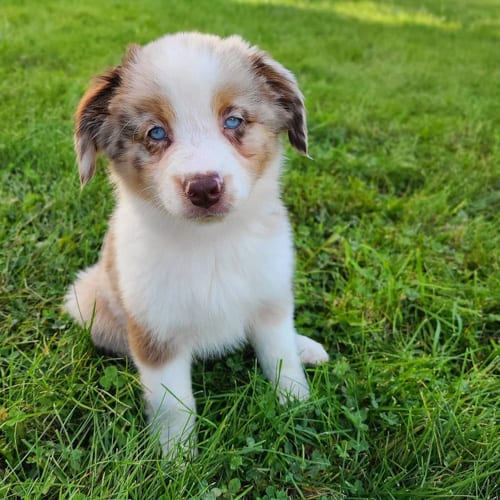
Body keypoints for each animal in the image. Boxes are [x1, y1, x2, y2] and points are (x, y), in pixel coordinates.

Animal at [64, 32, 330, 458]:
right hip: (87, 296)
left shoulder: (271, 296)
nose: (204, 188)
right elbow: (173, 403)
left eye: (234, 120)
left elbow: (280, 358)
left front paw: (296, 406)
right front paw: (177, 459)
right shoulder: (156, 332)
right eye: (155, 133)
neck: (212, 242)